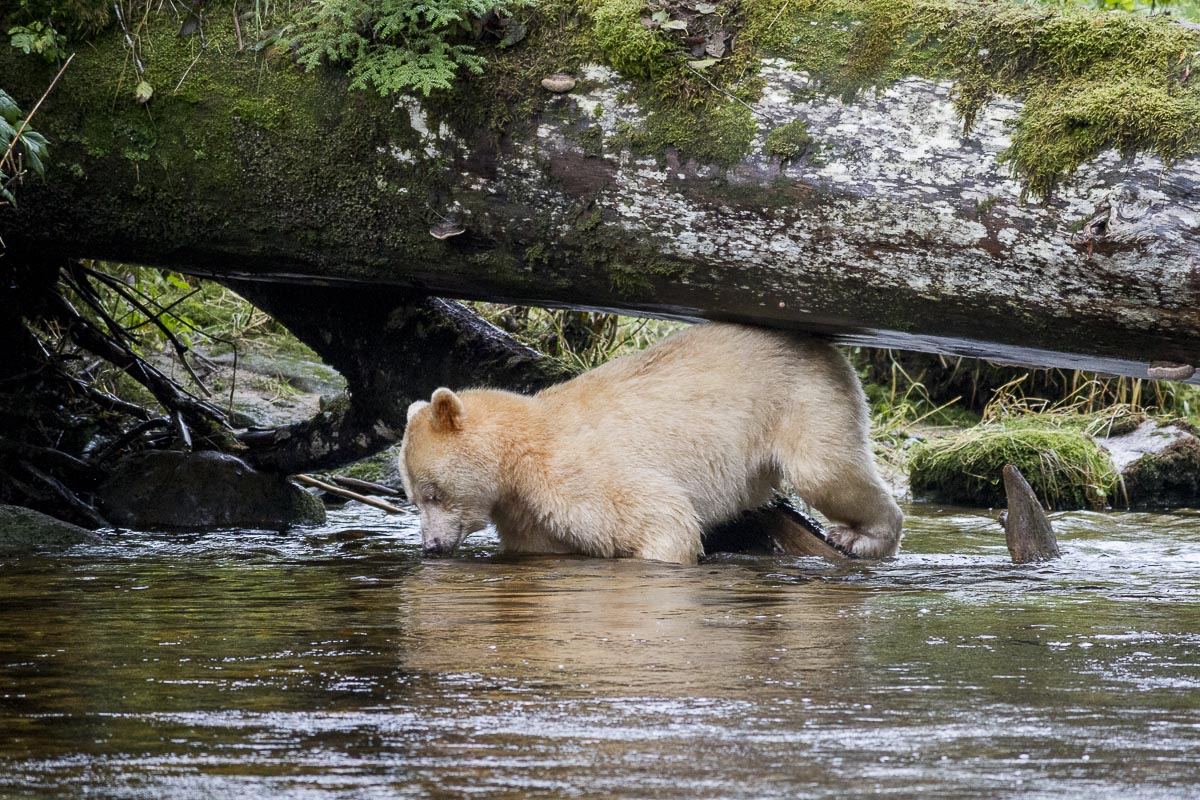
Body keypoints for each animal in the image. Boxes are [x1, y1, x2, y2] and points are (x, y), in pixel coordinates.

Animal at [399, 323, 903, 564]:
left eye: (432, 492)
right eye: (412, 497)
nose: (431, 546)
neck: (516, 457)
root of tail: (824, 345)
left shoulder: (575, 473)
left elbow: (660, 519)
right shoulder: (527, 513)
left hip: (801, 399)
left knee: (826, 471)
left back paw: (863, 536)